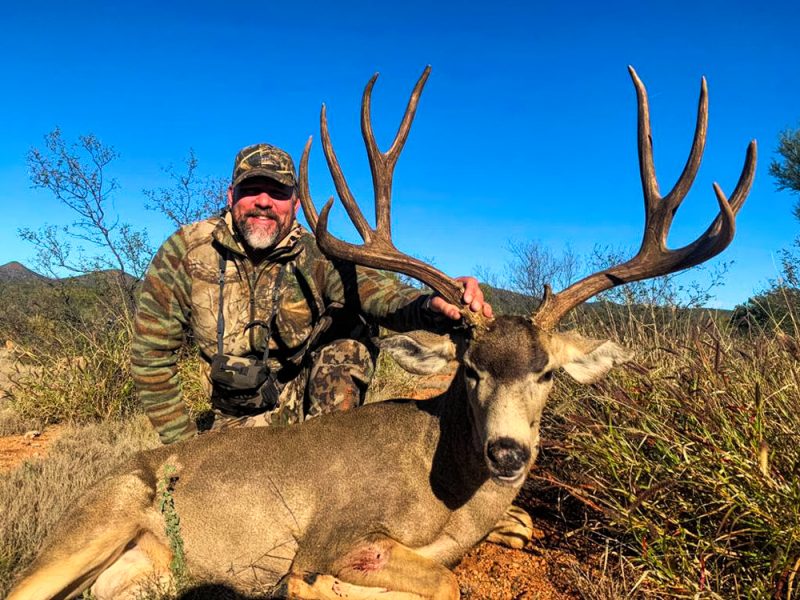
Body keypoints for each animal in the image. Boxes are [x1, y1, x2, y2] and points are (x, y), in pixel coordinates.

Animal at [7, 66, 755, 600]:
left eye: (545, 371)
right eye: (471, 369)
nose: (509, 452)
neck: (445, 493)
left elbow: (490, 547)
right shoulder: (328, 535)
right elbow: (409, 583)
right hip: (96, 522)